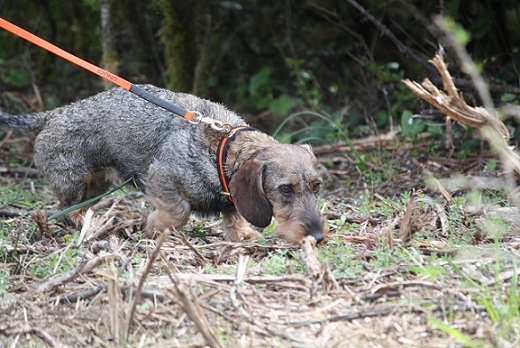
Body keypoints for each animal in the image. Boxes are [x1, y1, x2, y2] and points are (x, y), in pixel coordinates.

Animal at [0, 84, 328, 243]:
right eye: (285, 189)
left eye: (316, 186)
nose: (318, 237)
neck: (221, 149)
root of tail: (53, 114)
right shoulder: (160, 177)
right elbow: (179, 211)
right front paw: (155, 226)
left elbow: (233, 215)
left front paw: (242, 233)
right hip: (74, 181)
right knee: (67, 210)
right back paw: (93, 225)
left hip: (97, 183)